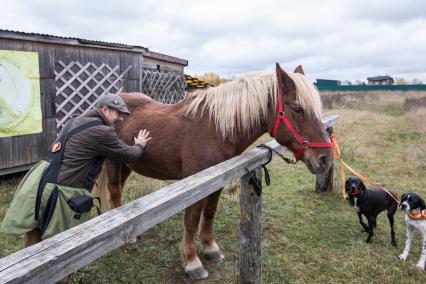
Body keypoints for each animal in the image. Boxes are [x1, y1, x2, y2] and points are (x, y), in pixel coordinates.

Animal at [95, 62, 332, 280]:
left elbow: (209, 213)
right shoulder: (193, 185)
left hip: (128, 164)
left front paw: (210, 248)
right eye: (298, 108)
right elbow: (191, 221)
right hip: (114, 162)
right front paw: (192, 262)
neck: (215, 129)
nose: (326, 159)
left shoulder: (217, 182)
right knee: (115, 191)